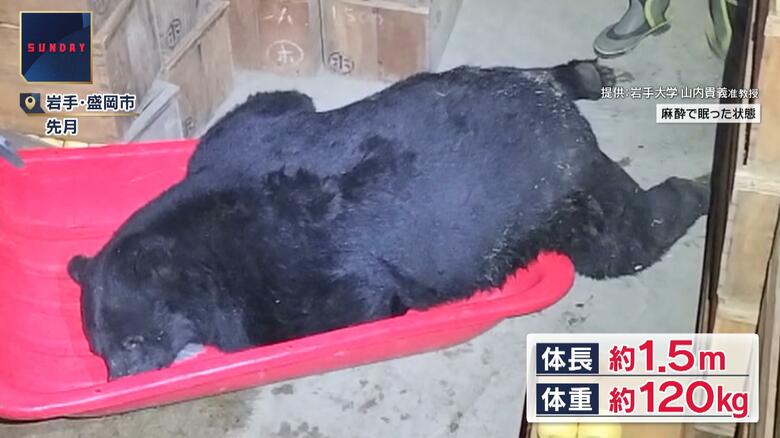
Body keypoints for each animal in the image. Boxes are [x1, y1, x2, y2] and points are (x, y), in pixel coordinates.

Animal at [67, 59, 709, 379]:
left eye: (133, 340)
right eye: (98, 349)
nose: (120, 378)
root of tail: (562, 117)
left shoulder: (287, 279)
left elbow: (356, 299)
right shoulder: (235, 141)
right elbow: (278, 103)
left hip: (565, 196)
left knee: (624, 238)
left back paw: (694, 189)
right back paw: (584, 74)